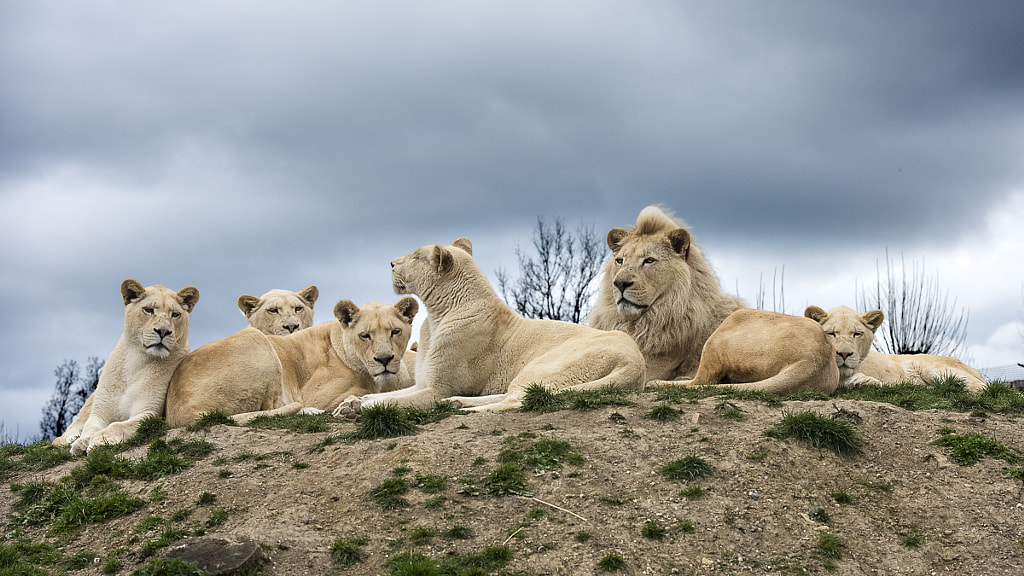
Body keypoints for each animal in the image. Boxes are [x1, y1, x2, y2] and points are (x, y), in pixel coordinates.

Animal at [54, 278, 199, 453]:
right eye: (148, 310)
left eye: (175, 314)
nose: (163, 331)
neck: (137, 360)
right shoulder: (99, 412)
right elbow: (90, 426)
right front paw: (82, 442)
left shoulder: (149, 413)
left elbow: (119, 425)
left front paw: (100, 440)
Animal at [165, 295, 417, 426]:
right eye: (365, 335)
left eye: (395, 331)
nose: (384, 359)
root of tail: (179, 411)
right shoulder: (317, 394)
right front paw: (349, 407)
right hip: (257, 340)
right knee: (275, 407)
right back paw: (313, 412)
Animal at [331, 235, 643, 414]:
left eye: (417, 256)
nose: (392, 263)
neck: (436, 315)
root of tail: (636, 361)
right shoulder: (423, 381)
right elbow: (390, 392)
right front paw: (352, 403)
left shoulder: (437, 388)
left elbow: (395, 401)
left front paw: (361, 406)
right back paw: (458, 403)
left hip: (544, 365)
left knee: (520, 399)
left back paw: (463, 409)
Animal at [802, 303, 987, 391]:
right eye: (831, 333)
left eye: (857, 334)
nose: (845, 354)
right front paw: (863, 381)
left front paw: (864, 381)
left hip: (932, 368)